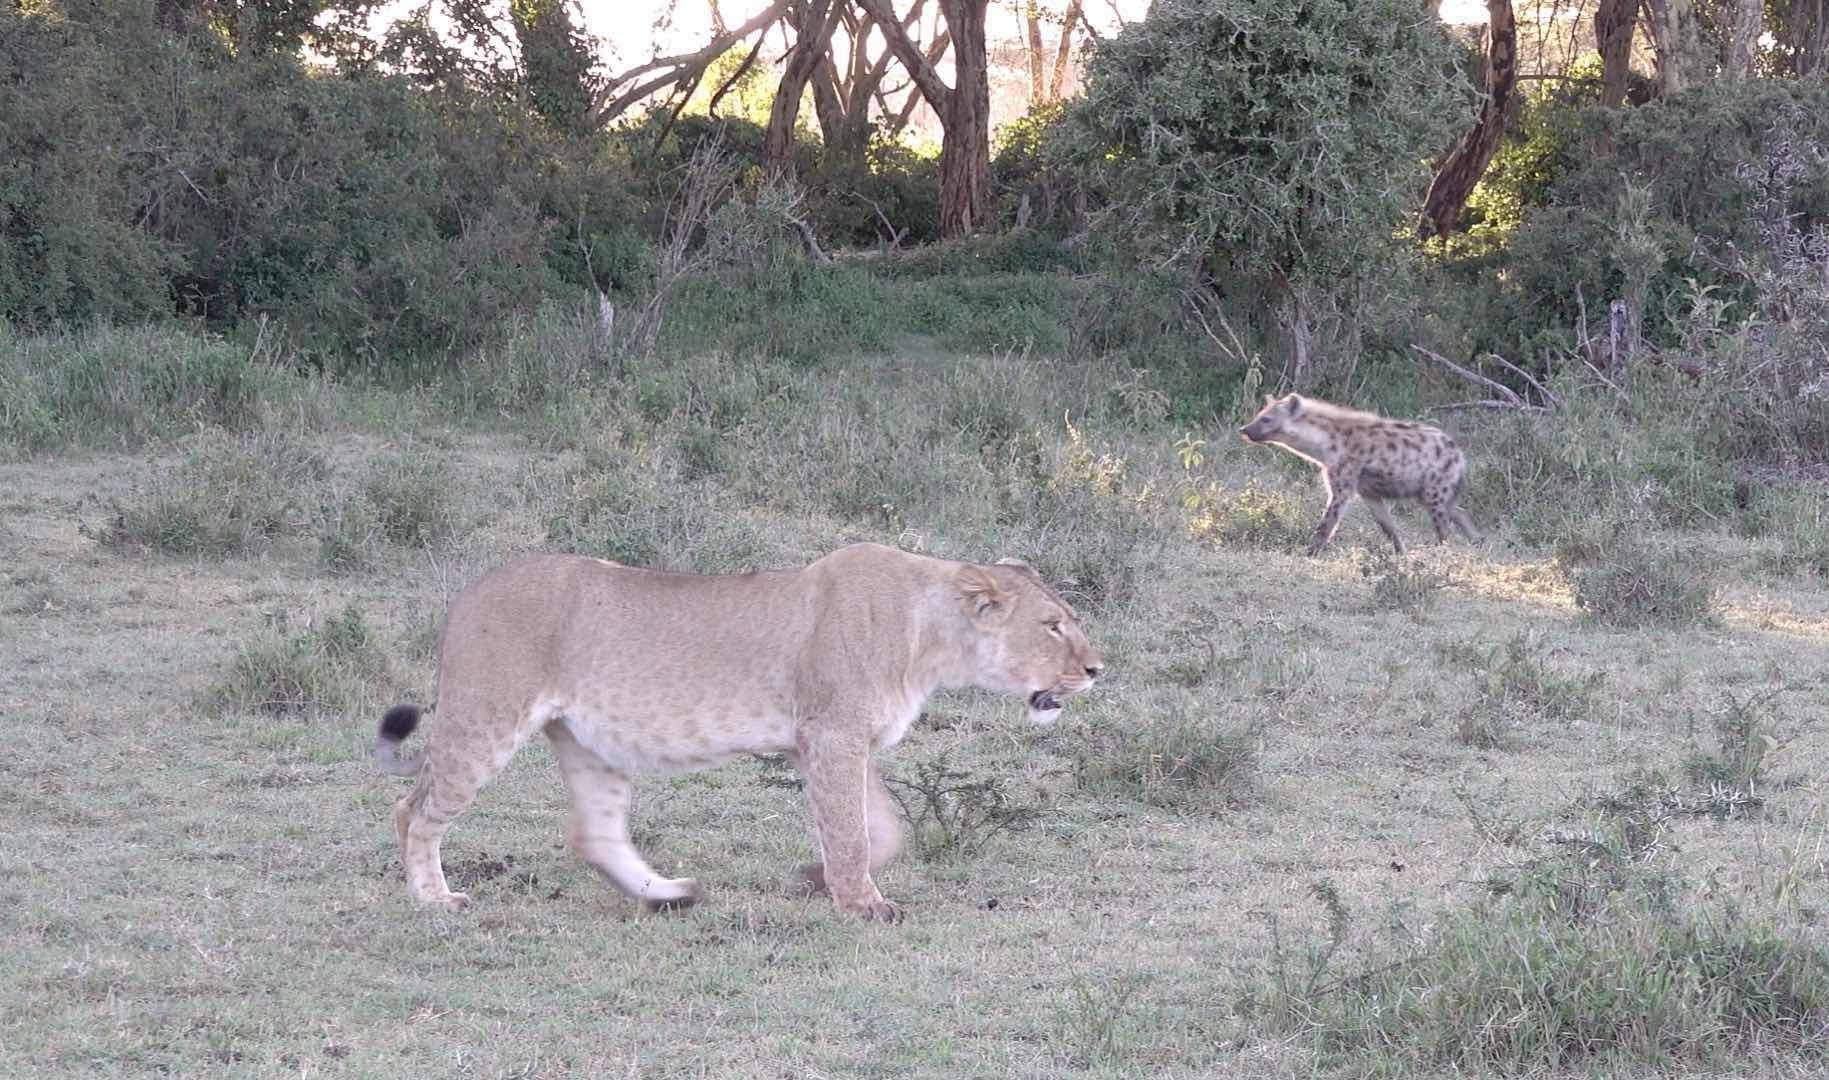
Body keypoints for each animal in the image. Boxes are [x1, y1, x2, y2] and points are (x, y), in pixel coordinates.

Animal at [371, 545, 1097, 926]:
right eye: (1052, 625)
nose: (1097, 669)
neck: (931, 637)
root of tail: (469, 591)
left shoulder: (837, 742)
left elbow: (878, 828)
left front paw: (818, 878)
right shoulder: (831, 734)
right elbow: (853, 831)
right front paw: (862, 904)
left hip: (588, 743)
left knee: (595, 834)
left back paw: (667, 895)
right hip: (485, 719)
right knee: (413, 809)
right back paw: (434, 897)